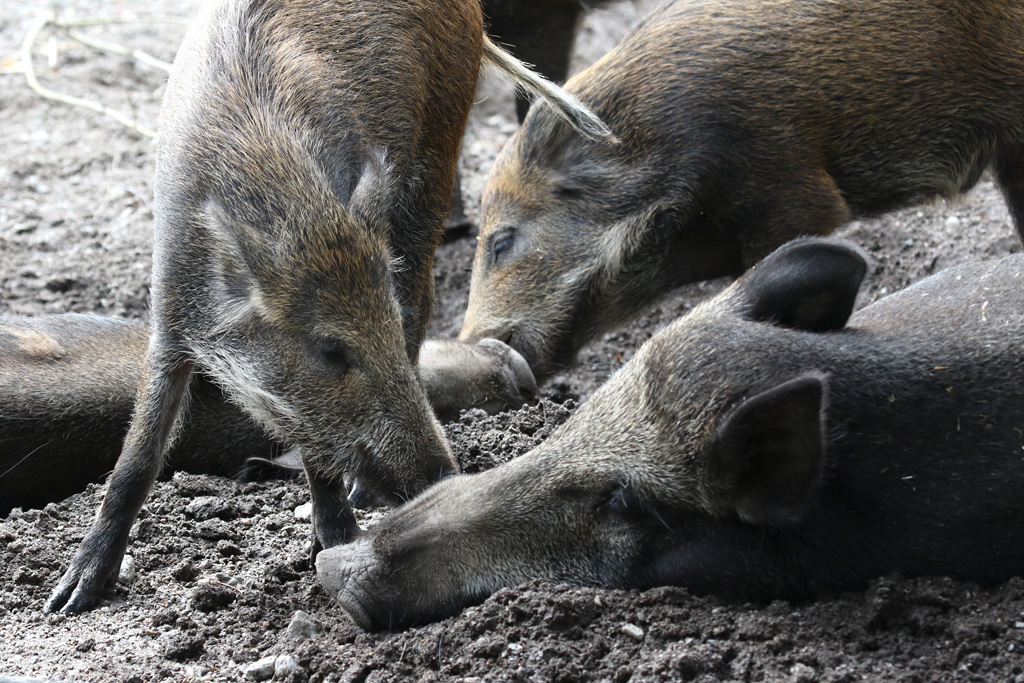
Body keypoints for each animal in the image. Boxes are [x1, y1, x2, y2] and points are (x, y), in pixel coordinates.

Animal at [45, 0, 611, 615]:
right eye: (329, 350)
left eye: (378, 332)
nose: (444, 475)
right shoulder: (168, 316)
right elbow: (138, 456)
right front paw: (68, 599)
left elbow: (317, 448)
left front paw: (332, 551)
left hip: (437, 151)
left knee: (424, 298)